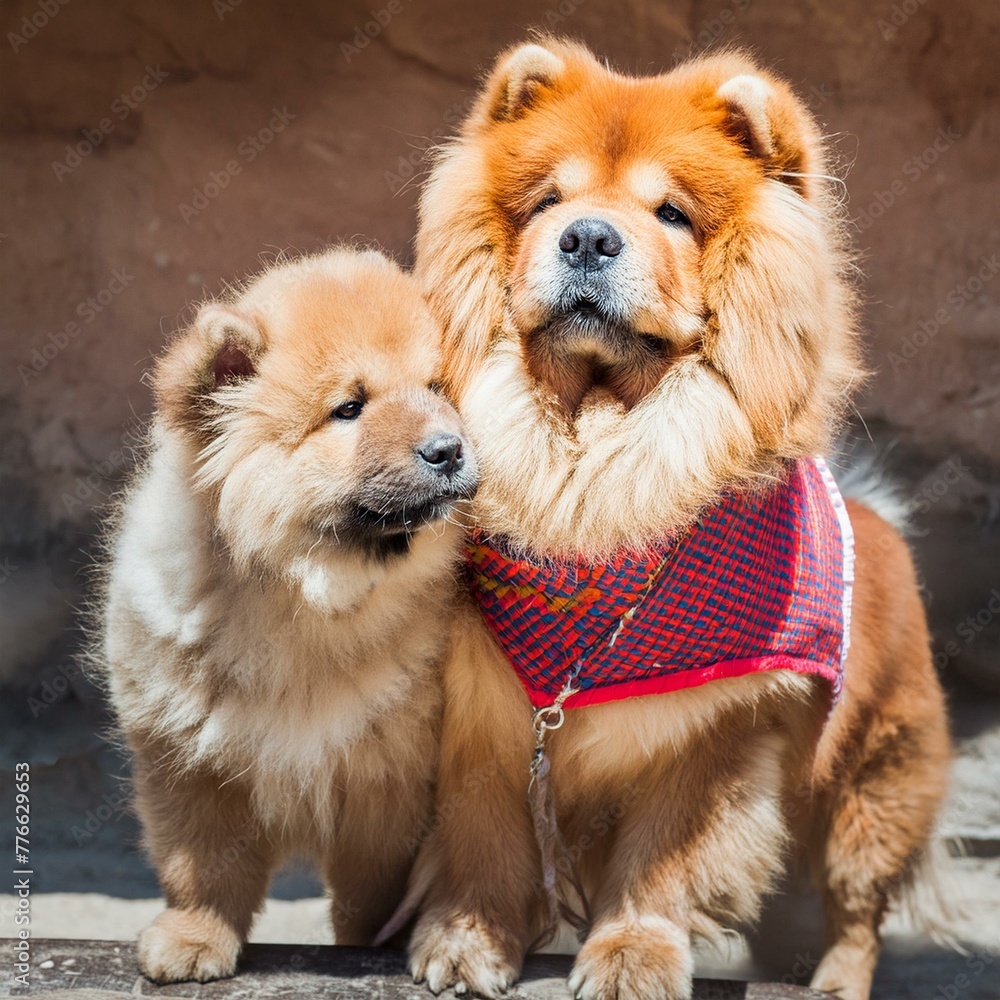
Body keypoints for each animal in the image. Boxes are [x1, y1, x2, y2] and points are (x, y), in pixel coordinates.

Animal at [400, 37, 952, 1000]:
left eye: (672, 214)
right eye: (548, 202)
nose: (588, 236)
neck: (595, 458)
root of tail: (876, 524)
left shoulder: (715, 733)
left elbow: (662, 862)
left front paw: (632, 957)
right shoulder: (485, 717)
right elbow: (483, 840)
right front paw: (466, 943)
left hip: (873, 788)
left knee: (858, 908)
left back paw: (835, 980)